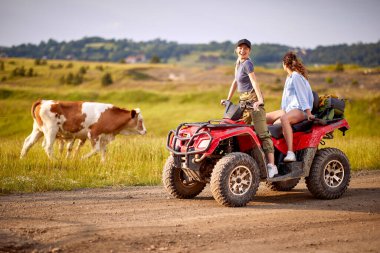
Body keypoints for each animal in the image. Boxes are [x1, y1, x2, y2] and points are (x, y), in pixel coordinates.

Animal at [19, 100, 147, 161]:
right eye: (140, 120)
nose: (145, 131)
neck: (109, 115)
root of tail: (43, 101)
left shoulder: (103, 137)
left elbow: (103, 151)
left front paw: (104, 163)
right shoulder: (93, 134)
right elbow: (96, 150)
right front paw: (80, 159)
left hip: (38, 130)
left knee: (28, 143)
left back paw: (22, 158)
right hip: (50, 130)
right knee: (47, 146)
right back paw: (56, 161)